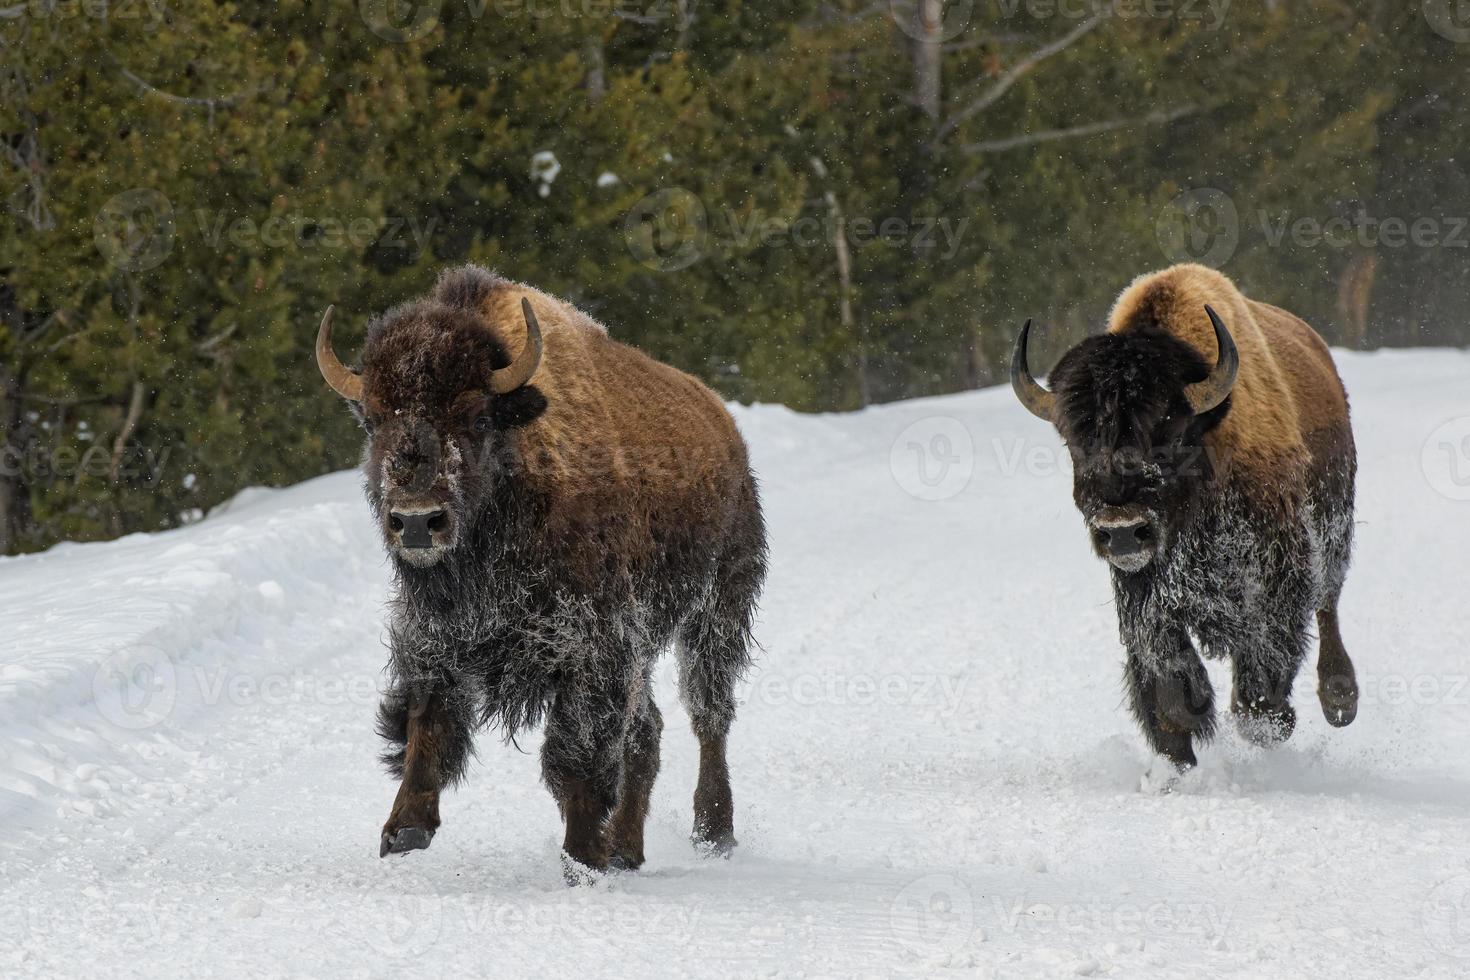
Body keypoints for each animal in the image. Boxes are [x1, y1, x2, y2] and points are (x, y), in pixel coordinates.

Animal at [313, 264, 770, 875]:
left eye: (478, 417)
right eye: (376, 421)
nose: (416, 521)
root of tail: (725, 429)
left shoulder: (592, 645)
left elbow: (575, 754)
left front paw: (581, 857)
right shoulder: (434, 634)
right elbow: (426, 719)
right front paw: (404, 829)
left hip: (718, 609)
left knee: (708, 714)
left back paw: (711, 833)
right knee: (647, 733)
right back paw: (626, 849)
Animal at [1017, 264, 1358, 769]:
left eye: (1171, 432)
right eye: (1076, 440)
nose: (1123, 531)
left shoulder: (1275, 579)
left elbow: (1264, 669)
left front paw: (1267, 720)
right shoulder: (1144, 594)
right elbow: (1167, 676)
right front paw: (1179, 743)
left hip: (1333, 525)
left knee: (1328, 602)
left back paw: (1340, 701)